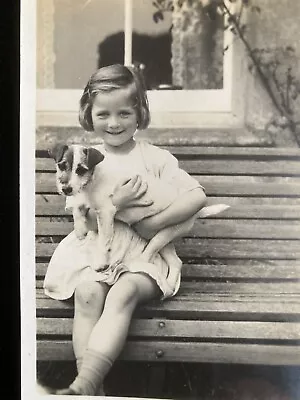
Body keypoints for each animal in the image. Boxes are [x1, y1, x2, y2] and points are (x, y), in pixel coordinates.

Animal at [49, 142, 229, 286]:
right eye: (62, 165)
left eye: (81, 170)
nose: (65, 188)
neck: (92, 180)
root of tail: (197, 213)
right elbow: (77, 207)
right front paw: (80, 228)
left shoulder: (106, 213)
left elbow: (103, 241)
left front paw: (101, 263)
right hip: (162, 238)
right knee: (176, 262)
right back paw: (169, 285)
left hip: (164, 234)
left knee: (148, 257)